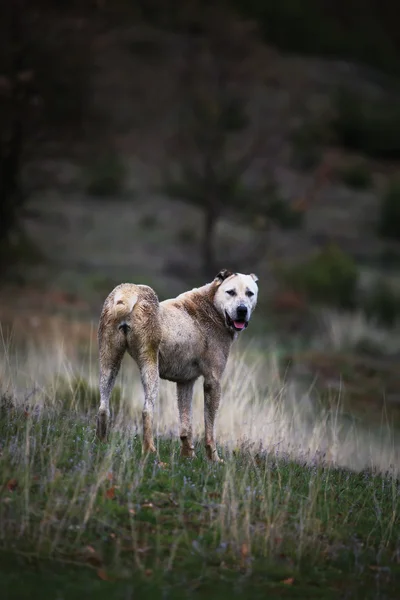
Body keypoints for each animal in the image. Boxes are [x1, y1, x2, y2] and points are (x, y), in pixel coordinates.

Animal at [97, 270, 260, 462]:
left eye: (250, 293)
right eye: (231, 292)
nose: (242, 310)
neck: (213, 308)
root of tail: (129, 291)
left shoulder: (185, 382)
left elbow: (185, 425)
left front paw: (187, 456)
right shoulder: (213, 381)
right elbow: (210, 427)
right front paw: (214, 459)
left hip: (109, 361)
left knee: (103, 407)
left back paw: (101, 443)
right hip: (150, 366)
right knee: (146, 410)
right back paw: (151, 452)